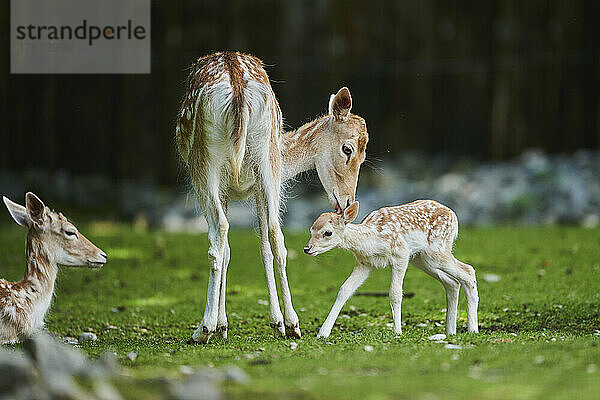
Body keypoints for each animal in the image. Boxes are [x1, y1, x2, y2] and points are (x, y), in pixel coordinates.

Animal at [176, 50, 368, 344]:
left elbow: (232, 248)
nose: (347, 202)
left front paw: (222, 326)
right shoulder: (255, 187)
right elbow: (262, 246)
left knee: (218, 233)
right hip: (267, 158)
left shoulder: (230, 187)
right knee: (277, 233)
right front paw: (271, 322)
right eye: (348, 149)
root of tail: (236, 82)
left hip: (205, 163)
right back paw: (292, 324)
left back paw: (203, 329)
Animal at [304, 200, 478, 338]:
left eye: (328, 232)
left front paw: (397, 331)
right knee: (452, 282)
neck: (373, 240)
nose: (307, 248)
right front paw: (323, 333)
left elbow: (395, 293)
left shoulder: (400, 255)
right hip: (422, 259)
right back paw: (451, 331)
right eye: (311, 230)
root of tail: (453, 215)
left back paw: (472, 329)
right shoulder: (365, 264)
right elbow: (344, 290)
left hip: (437, 249)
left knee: (468, 271)